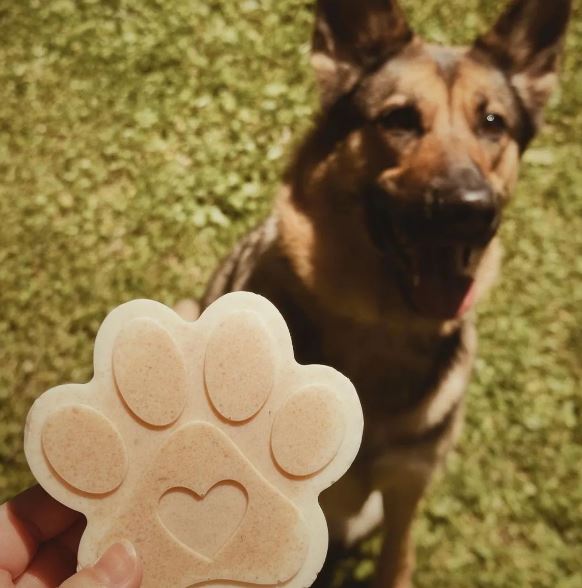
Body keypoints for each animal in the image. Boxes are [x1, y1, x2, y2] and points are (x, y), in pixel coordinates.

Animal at [197, 1, 576, 584]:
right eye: (399, 119)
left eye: (492, 124)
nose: (472, 209)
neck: (382, 326)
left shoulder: (405, 487)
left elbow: (397, 556)